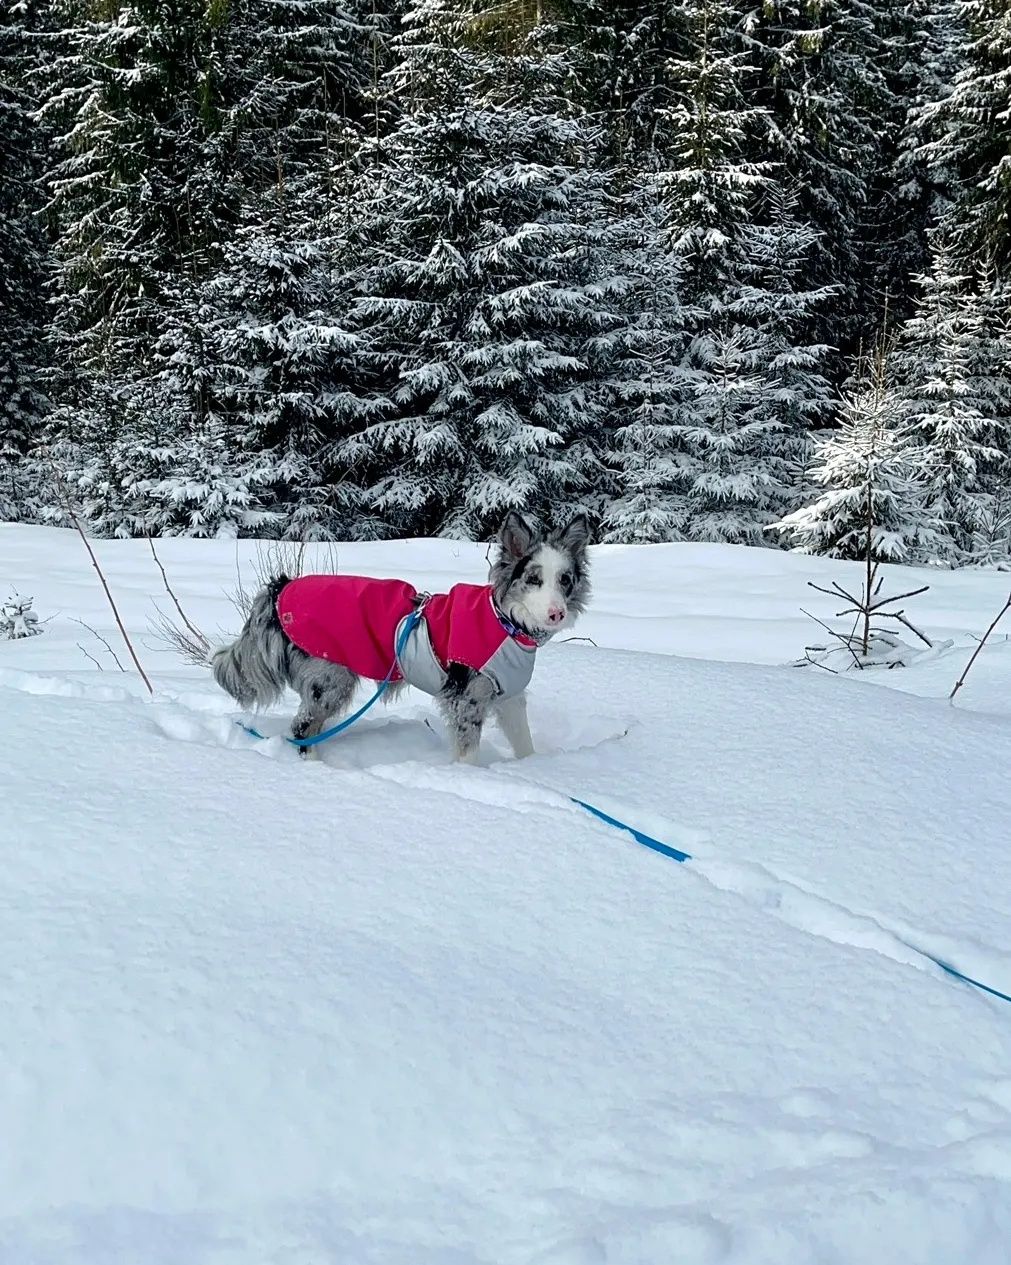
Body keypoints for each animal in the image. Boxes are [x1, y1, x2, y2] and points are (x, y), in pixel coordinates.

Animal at [213, 511, 592, 759]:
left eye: (565, 579)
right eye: (533, 579)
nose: (557, 613)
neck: (507, 624)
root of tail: (282, 588)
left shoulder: (510, 696)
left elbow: (524, 744)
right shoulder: (467, 697)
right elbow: (467, 753)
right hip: (331, 679)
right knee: (302, 728)